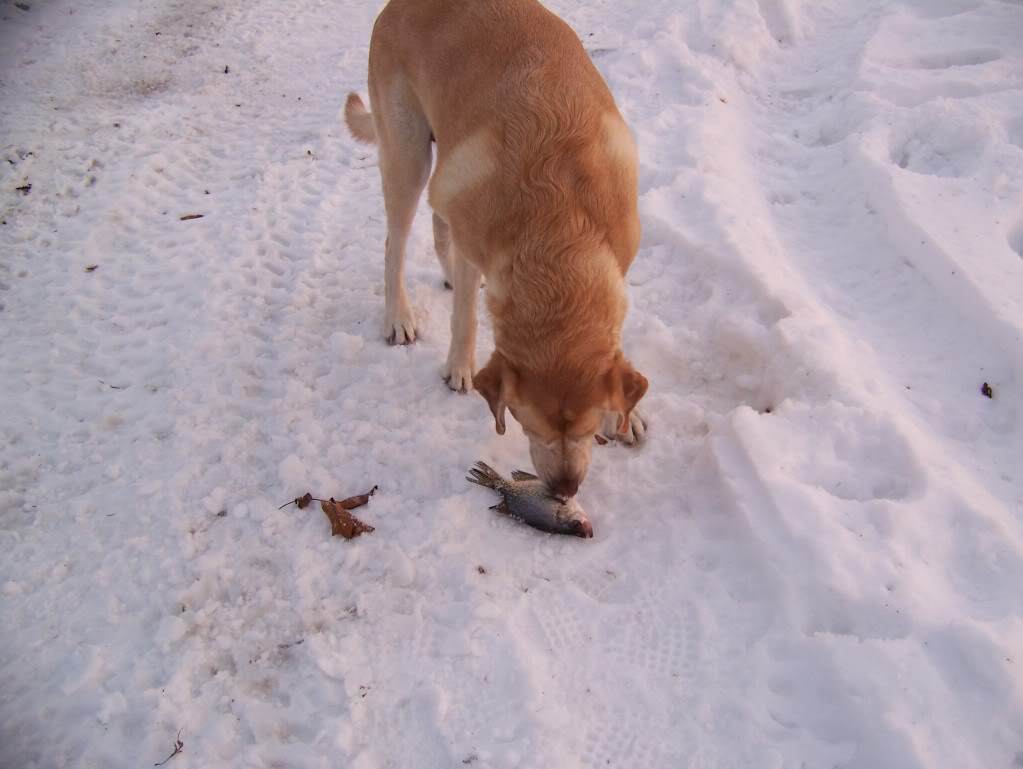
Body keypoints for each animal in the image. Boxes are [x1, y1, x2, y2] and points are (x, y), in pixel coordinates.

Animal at [343, 0, 646, 499]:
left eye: (586, 430)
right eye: (529, 426)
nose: (564, 490)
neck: (560, 225)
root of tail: (396, 5)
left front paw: (628, 414)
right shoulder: (477, 238)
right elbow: (465, 316)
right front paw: (459, 368)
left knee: (437, 217)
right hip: (408, 153)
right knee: (396, 241)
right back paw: (399, 315)